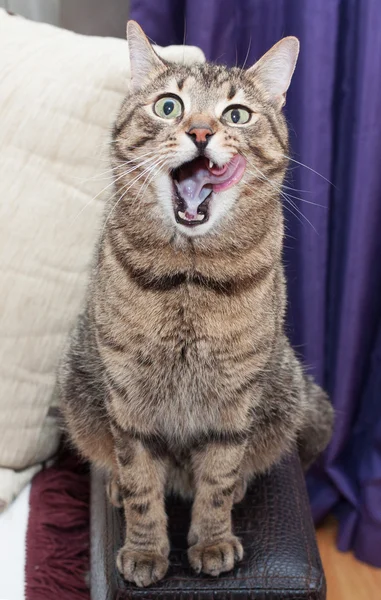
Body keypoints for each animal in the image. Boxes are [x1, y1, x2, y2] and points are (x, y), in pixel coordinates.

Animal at [58, 22, 332, 584]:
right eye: (169, 106)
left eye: (236, 114)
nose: (202, 132)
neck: (189, 276)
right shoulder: (128, 396)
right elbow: (142, 482)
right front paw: (145, 550)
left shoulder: (235, 398)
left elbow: (218, 480)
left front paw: (211, 540)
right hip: (78, 389)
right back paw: (115, 485)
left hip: (284, 394)